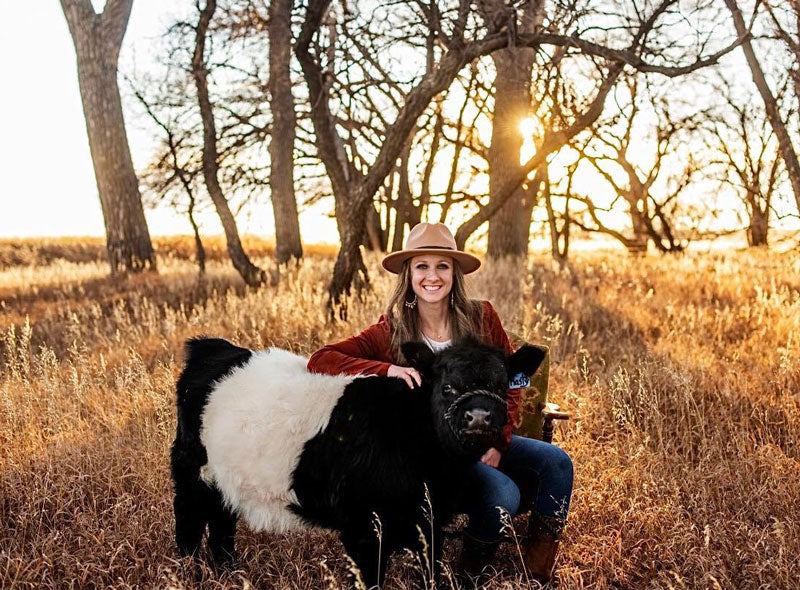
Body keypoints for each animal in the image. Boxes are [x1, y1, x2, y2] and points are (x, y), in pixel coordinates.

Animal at [169, 338, 544, 588]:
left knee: (222, 525)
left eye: (501, 385)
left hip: (224, 479)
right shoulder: (362, 528)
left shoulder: (430, 523)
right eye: (447, 387)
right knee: (190, 524)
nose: (479, 417)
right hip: (192, 472)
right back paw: (189, 574)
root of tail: (214, 347)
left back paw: (228, 573)